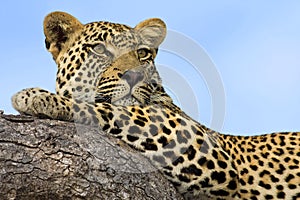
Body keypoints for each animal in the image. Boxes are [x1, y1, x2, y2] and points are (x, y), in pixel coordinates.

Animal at [10, 11, 298, 199]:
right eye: (100, 50)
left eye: (142, 53)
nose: (134, 76)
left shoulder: (197, 141)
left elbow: (111, 109)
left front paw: (38, 96)